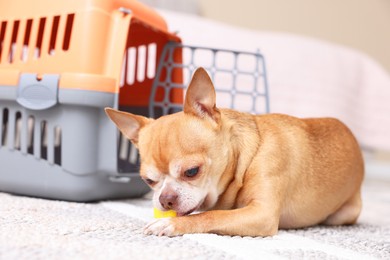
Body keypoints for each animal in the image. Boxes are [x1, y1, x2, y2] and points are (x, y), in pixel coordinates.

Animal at [105, 67, 364, 238]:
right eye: (149, 181)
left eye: (192, 171)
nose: (165, 198)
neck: (246, 160)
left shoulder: (262, 214)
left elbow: (212, 215)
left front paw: (171, 226)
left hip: (344, 213)